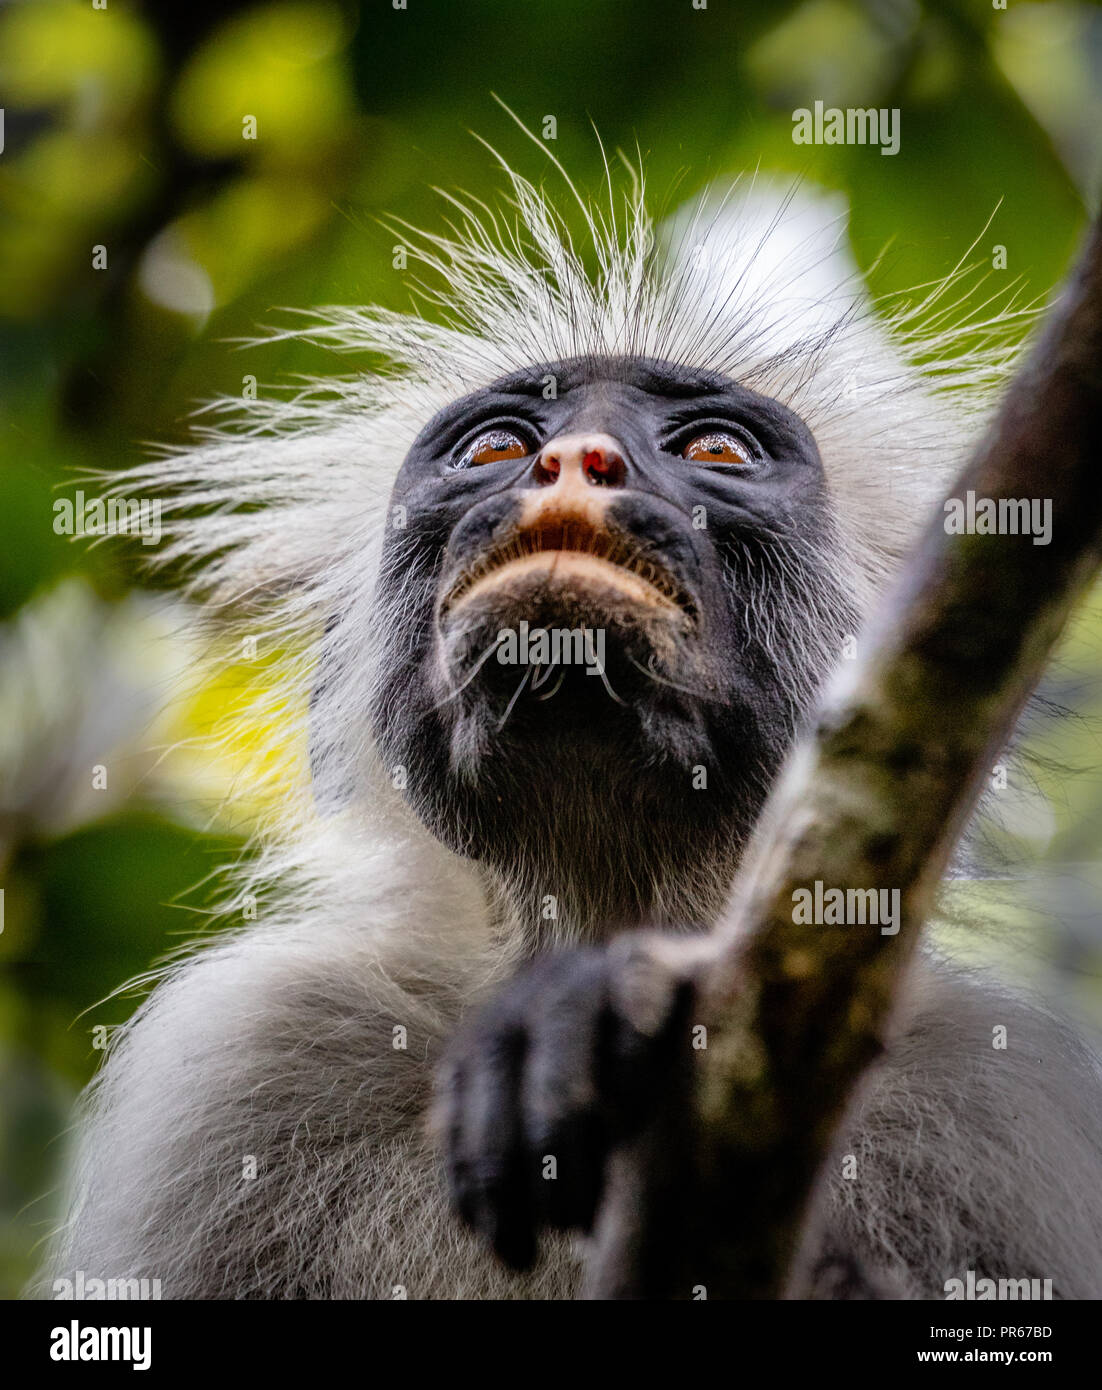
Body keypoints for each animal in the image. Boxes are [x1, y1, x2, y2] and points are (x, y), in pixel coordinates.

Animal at [43, 165, 1100, 1301]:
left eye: (716, 449)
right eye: (497, 446)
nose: (572, 458)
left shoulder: (995, 1100)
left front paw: (622, 1000)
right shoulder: (244, 1060)